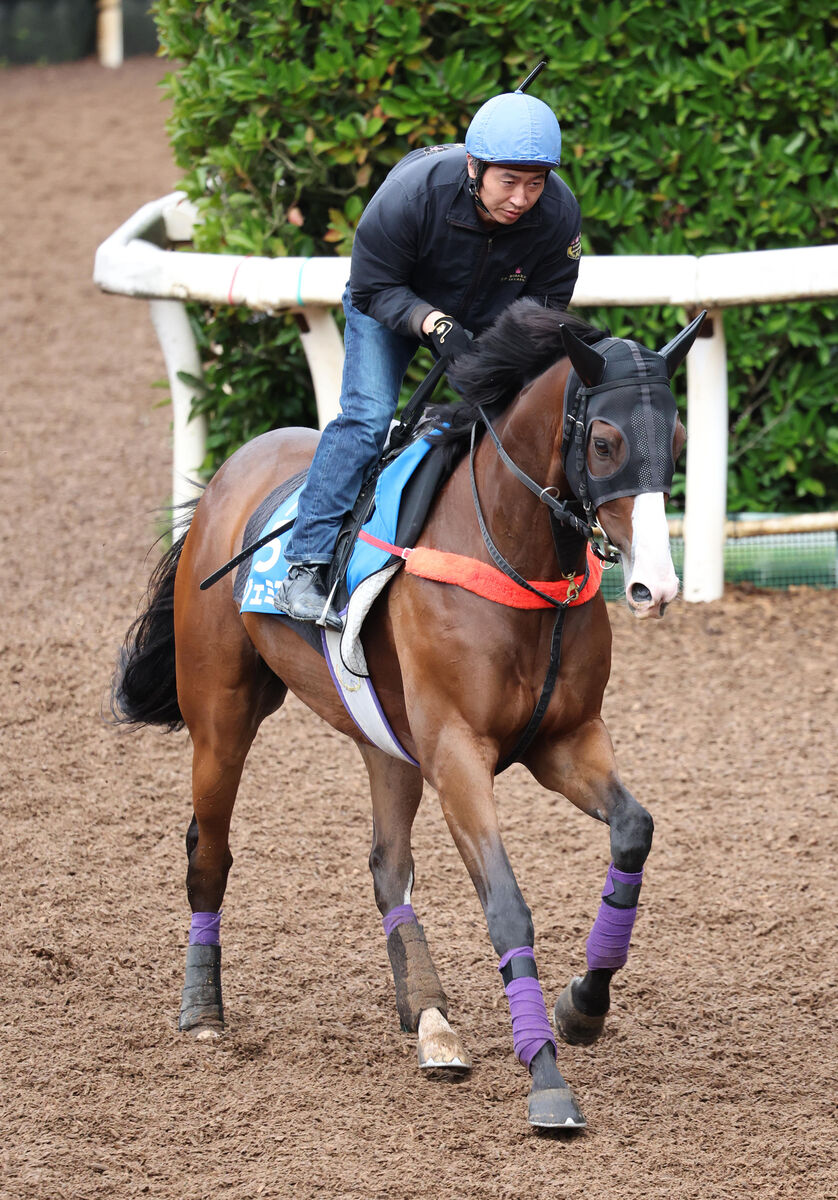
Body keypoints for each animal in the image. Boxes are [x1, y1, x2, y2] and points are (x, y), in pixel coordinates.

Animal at [111, 302, 696, 1132]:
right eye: (608, 442)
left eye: (676, 444)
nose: (658, 584)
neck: (512, 555)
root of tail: (231, 470)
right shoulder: (457, 755)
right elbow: (507, 908)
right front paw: (547, 1078)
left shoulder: (565, 740)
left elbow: (634, 832)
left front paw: (583, 1005)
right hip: (222, 713)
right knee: (209, 852)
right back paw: (202, 1009)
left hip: (385, 742)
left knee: (388, 868)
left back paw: (430, 1019)